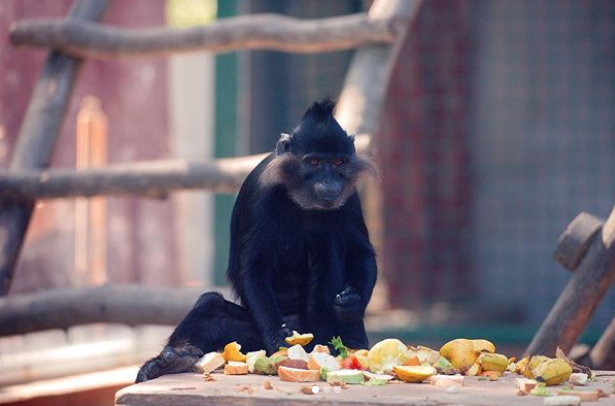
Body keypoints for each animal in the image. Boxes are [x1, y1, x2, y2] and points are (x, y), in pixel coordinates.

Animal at [137, 100, 378, 382]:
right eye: (314, 161)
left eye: (339, 162)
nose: (329, 182)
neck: (301, 201)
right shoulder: (262, 192)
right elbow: (252, 266)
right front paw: (279, 345)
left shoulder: (349, 196)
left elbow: (361, 251)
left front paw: (353, 301)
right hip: (251, 336)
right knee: (210, 305)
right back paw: (173, 360)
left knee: (327, 245)